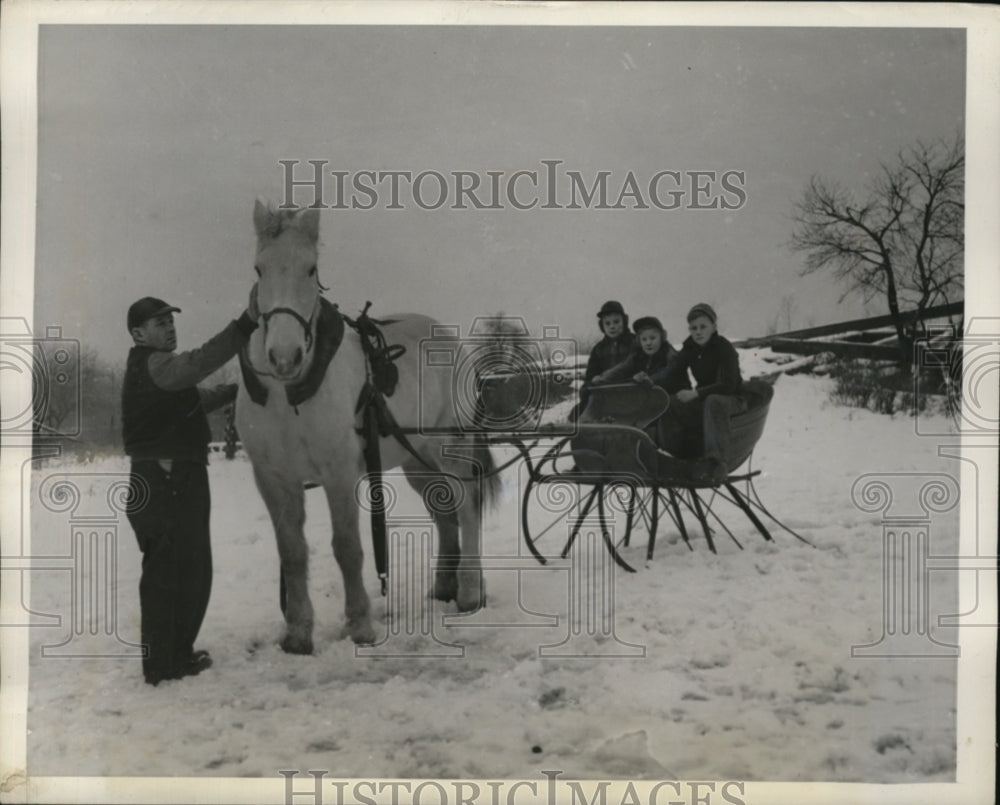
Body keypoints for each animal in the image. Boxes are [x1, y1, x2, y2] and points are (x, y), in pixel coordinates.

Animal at [235, 201, 500, 652]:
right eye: (258, 268)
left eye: (311, 268)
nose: (284, 356)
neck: (289, 396)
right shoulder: (272, 478)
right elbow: (292, 552)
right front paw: (298, 632)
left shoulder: (339, 473)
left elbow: (347, 547)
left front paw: (359, 623)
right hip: (416, 462)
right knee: (444, 514)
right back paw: (445, 587)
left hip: (450, 449)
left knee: (466, 508)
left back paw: (468, 591)